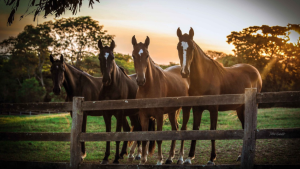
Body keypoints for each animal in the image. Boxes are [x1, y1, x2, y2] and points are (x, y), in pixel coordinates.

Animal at [131, 36, 192, 165]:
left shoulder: (159, 115)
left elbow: (159, 138)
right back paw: (170, 158)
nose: (141, 80)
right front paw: (142, 160)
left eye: (147, 55)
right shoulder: (143, 115)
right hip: (172, 111)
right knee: (175, 128)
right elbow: (144, 138)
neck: (149, 87)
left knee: (183, 129)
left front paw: (159, 160)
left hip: (186, 109)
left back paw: (180, 158)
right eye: (133, 55)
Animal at [176, 27, 262, 165]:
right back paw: (240, 156)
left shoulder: (213, 109)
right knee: (244, 127)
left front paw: (211, 159)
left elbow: (213, 131)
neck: (204, 77)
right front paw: (189, 158)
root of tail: (255, 71)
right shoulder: (197, 109)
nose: (184, 72)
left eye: (192, 48)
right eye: (178, 47)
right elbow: (195, 130)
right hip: (240, 109)